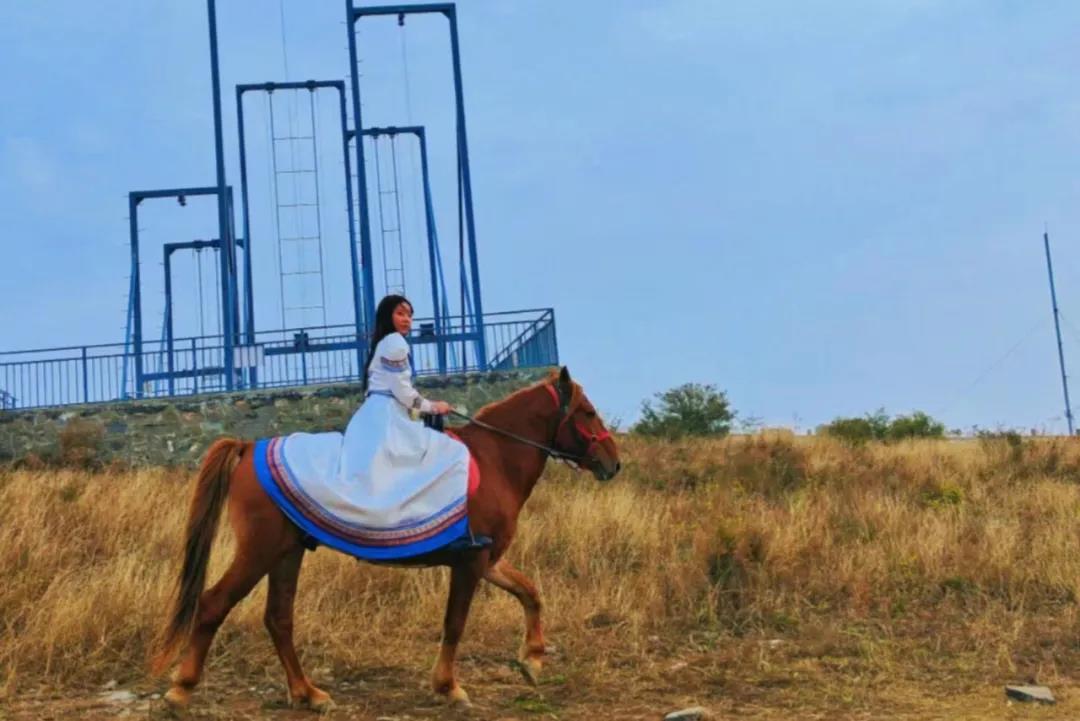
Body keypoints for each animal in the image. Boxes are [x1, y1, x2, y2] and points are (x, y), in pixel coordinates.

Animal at [150, 366, 620, 711]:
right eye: (587, 412)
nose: (613, 463)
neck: (493, 460)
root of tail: (249, 447)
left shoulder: (487, 558)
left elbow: (529, 592)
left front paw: (534, 658)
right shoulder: (470, 562)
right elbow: (455, 623)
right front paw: (449, 686)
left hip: (287, 552)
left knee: (279, 619)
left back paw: (308, 693)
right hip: (259, 550)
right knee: (214, 604)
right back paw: (181, 688)